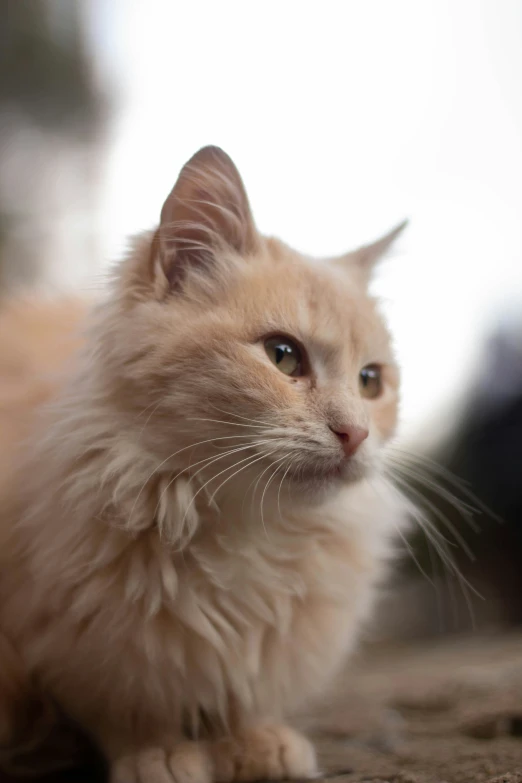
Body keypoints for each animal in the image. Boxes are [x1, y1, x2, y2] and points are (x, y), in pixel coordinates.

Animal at [0, 147, 406, 783]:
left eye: (371, 381)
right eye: (283, 356)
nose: (356, 434)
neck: (244, 530)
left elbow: (244, 697)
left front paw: (258, 743)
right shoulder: (72, 645)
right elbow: (130, 707)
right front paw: (160, 753)